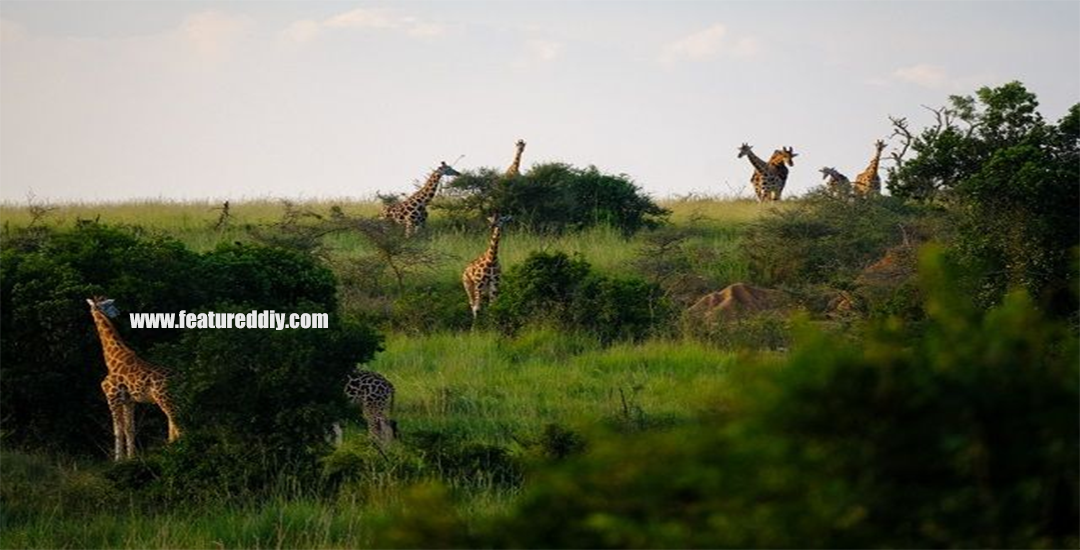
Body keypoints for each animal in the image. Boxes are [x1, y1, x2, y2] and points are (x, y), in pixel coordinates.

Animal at [86, 296, 181, 458]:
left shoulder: (112, 396)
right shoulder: (128, 400)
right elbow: (129, 429)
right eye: (110, 305)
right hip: (171, 398)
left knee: (176, 420)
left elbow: (117, 430)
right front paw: (131, 457)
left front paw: (118, 459)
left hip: (164, 397)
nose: (118, 312)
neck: (111, 359)